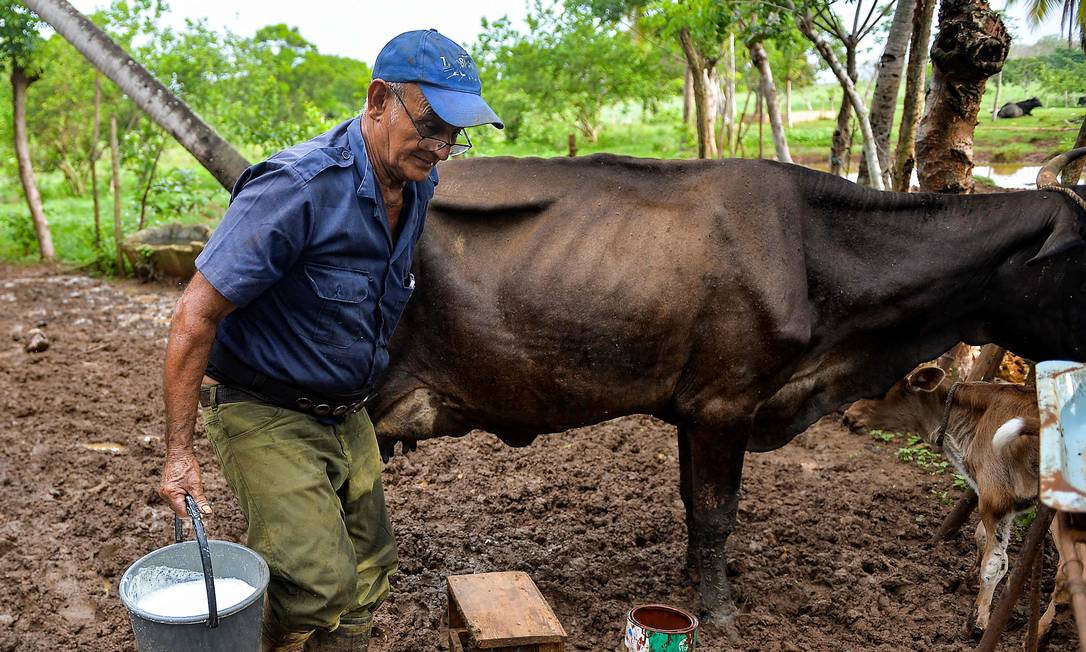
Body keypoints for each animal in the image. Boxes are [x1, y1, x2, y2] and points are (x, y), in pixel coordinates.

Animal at [842, 367, 1064, 634]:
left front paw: (978, 620)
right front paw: (969, 577)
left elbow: (996, 563)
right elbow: (980, 535)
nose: (846, 417)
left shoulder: (995, 499)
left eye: (880, 391)